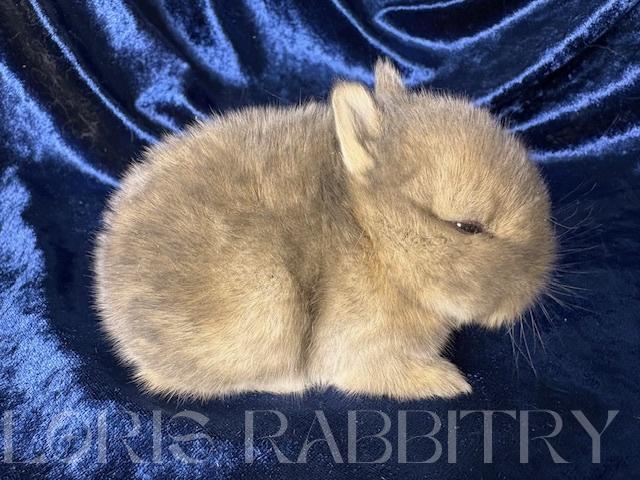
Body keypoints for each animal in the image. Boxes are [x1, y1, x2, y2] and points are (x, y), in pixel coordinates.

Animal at [94, 59, 555, 400]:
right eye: (466, 226)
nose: (532, 290)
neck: (375, 237)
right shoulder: (362, 353)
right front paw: (449, 381)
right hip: (266, 297)